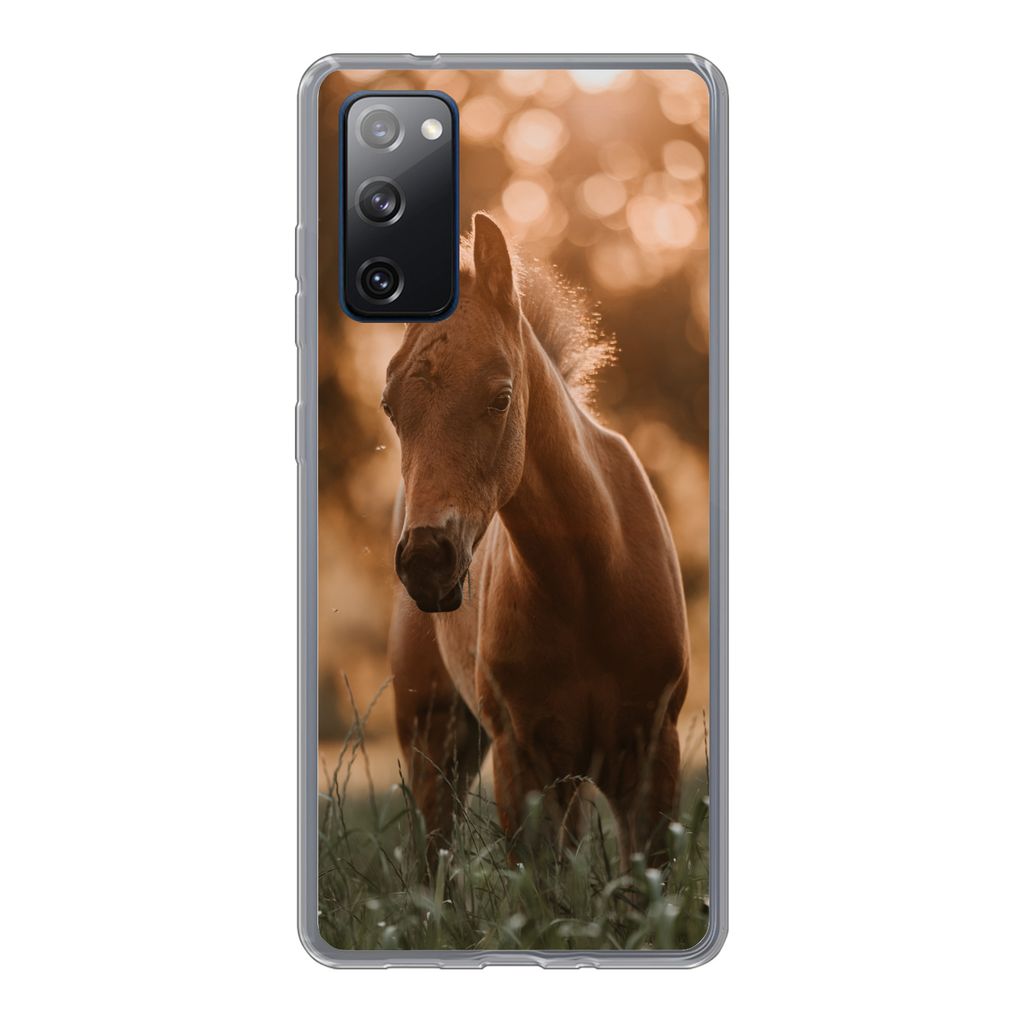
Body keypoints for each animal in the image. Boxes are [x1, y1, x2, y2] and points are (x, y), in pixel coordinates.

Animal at [383, 212, 689, 867]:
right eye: (390, 407)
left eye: (501, 398)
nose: (425, 561)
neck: (588, 580)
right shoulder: (521, 762)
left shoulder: (653, 753)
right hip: (432, 737)